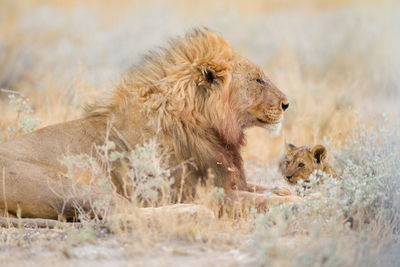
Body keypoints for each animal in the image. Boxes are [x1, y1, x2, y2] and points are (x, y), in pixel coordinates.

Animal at [0, 28, 298, 221]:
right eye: (258, 79)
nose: (286, 103)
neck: (205, 125)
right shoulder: (201, 191)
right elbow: (257, 199)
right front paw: (296, 202)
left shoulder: (230, 180)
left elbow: (263, 189)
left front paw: (290, 191)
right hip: (70, 185)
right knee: (122, 214)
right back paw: (192, 212)